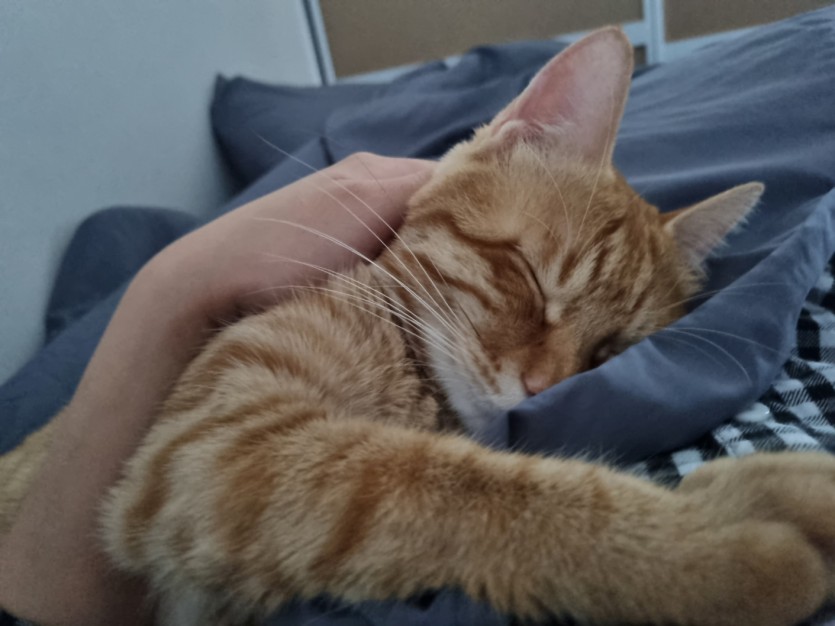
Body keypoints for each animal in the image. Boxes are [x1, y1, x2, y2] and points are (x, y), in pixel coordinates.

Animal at [4, 27, 835, 626]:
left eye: (609, 350)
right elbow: (472, 491)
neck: (409, 377)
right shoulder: (210, 450)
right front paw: (720, 538)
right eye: (528, 279)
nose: (541, 385)